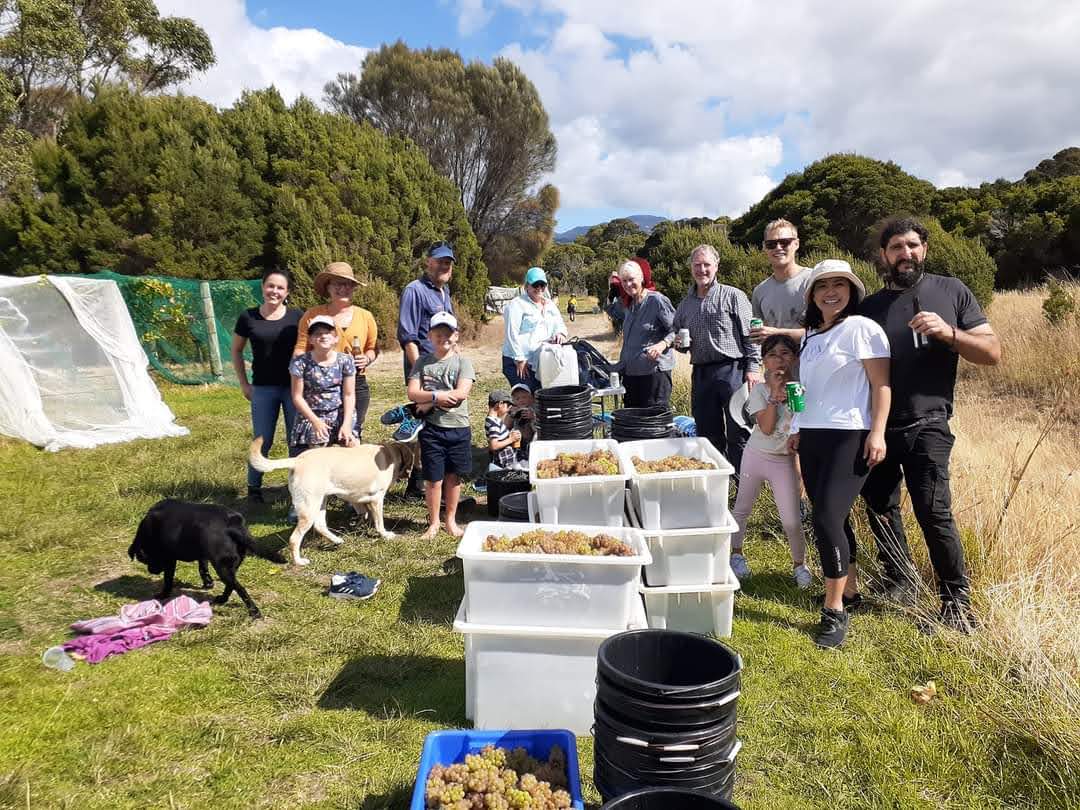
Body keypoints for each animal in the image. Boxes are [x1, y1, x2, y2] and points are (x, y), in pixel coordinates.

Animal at [128, 499, 262, 618]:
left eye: (144, 559)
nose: (151, 571)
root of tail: (233, 523)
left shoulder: (170, 560)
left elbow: (168, 580)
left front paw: (164, 594)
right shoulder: (202, 554)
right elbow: (203, 567)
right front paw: (208, 583)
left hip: (222, 567)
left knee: (240, 588)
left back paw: (254, 611)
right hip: (231, 565)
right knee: (231, 585)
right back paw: (222, 599)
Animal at [248, 438, 419, 566]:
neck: (391, 453)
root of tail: (297, 460)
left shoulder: (356, 497)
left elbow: (363, 513)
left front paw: (359, 524)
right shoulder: (377, 499)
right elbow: (379, 522)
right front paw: (385, 535)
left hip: (320, 502)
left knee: (320, 525)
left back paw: (337, 540)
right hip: (310, 507)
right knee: (295, 538)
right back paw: (299, 561)